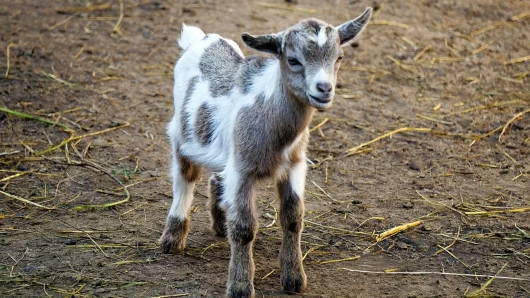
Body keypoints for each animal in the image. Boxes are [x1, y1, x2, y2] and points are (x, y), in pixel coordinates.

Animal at [161, 7, 372, 298]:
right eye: (293, 60)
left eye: (338, 57)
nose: (324, 89)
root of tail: (202, 39)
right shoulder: (242, 170)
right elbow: (244, 228)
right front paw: (240, 286)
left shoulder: (294, 166)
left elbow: (293, 217)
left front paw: (294, 279)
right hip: (181, 133)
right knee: (185, 176)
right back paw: (173, 238)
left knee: (217, 176)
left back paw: (220, 223)